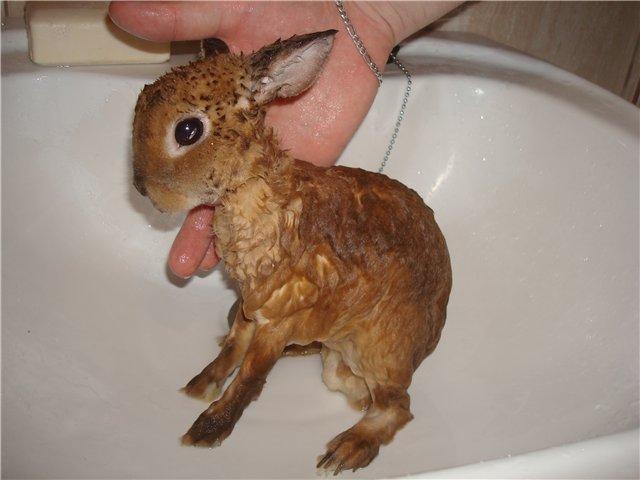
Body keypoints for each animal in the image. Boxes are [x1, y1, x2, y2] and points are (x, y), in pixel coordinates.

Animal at [132, 30, 452, 474]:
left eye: (188, 130)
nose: (141, 188)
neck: (256, 193)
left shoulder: (278, 319)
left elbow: (249, 377)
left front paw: (205, 431)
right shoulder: (250, 308)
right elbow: (232, 350)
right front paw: (200, 385)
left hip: (380, 349)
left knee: (398, 407)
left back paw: (345, 450)